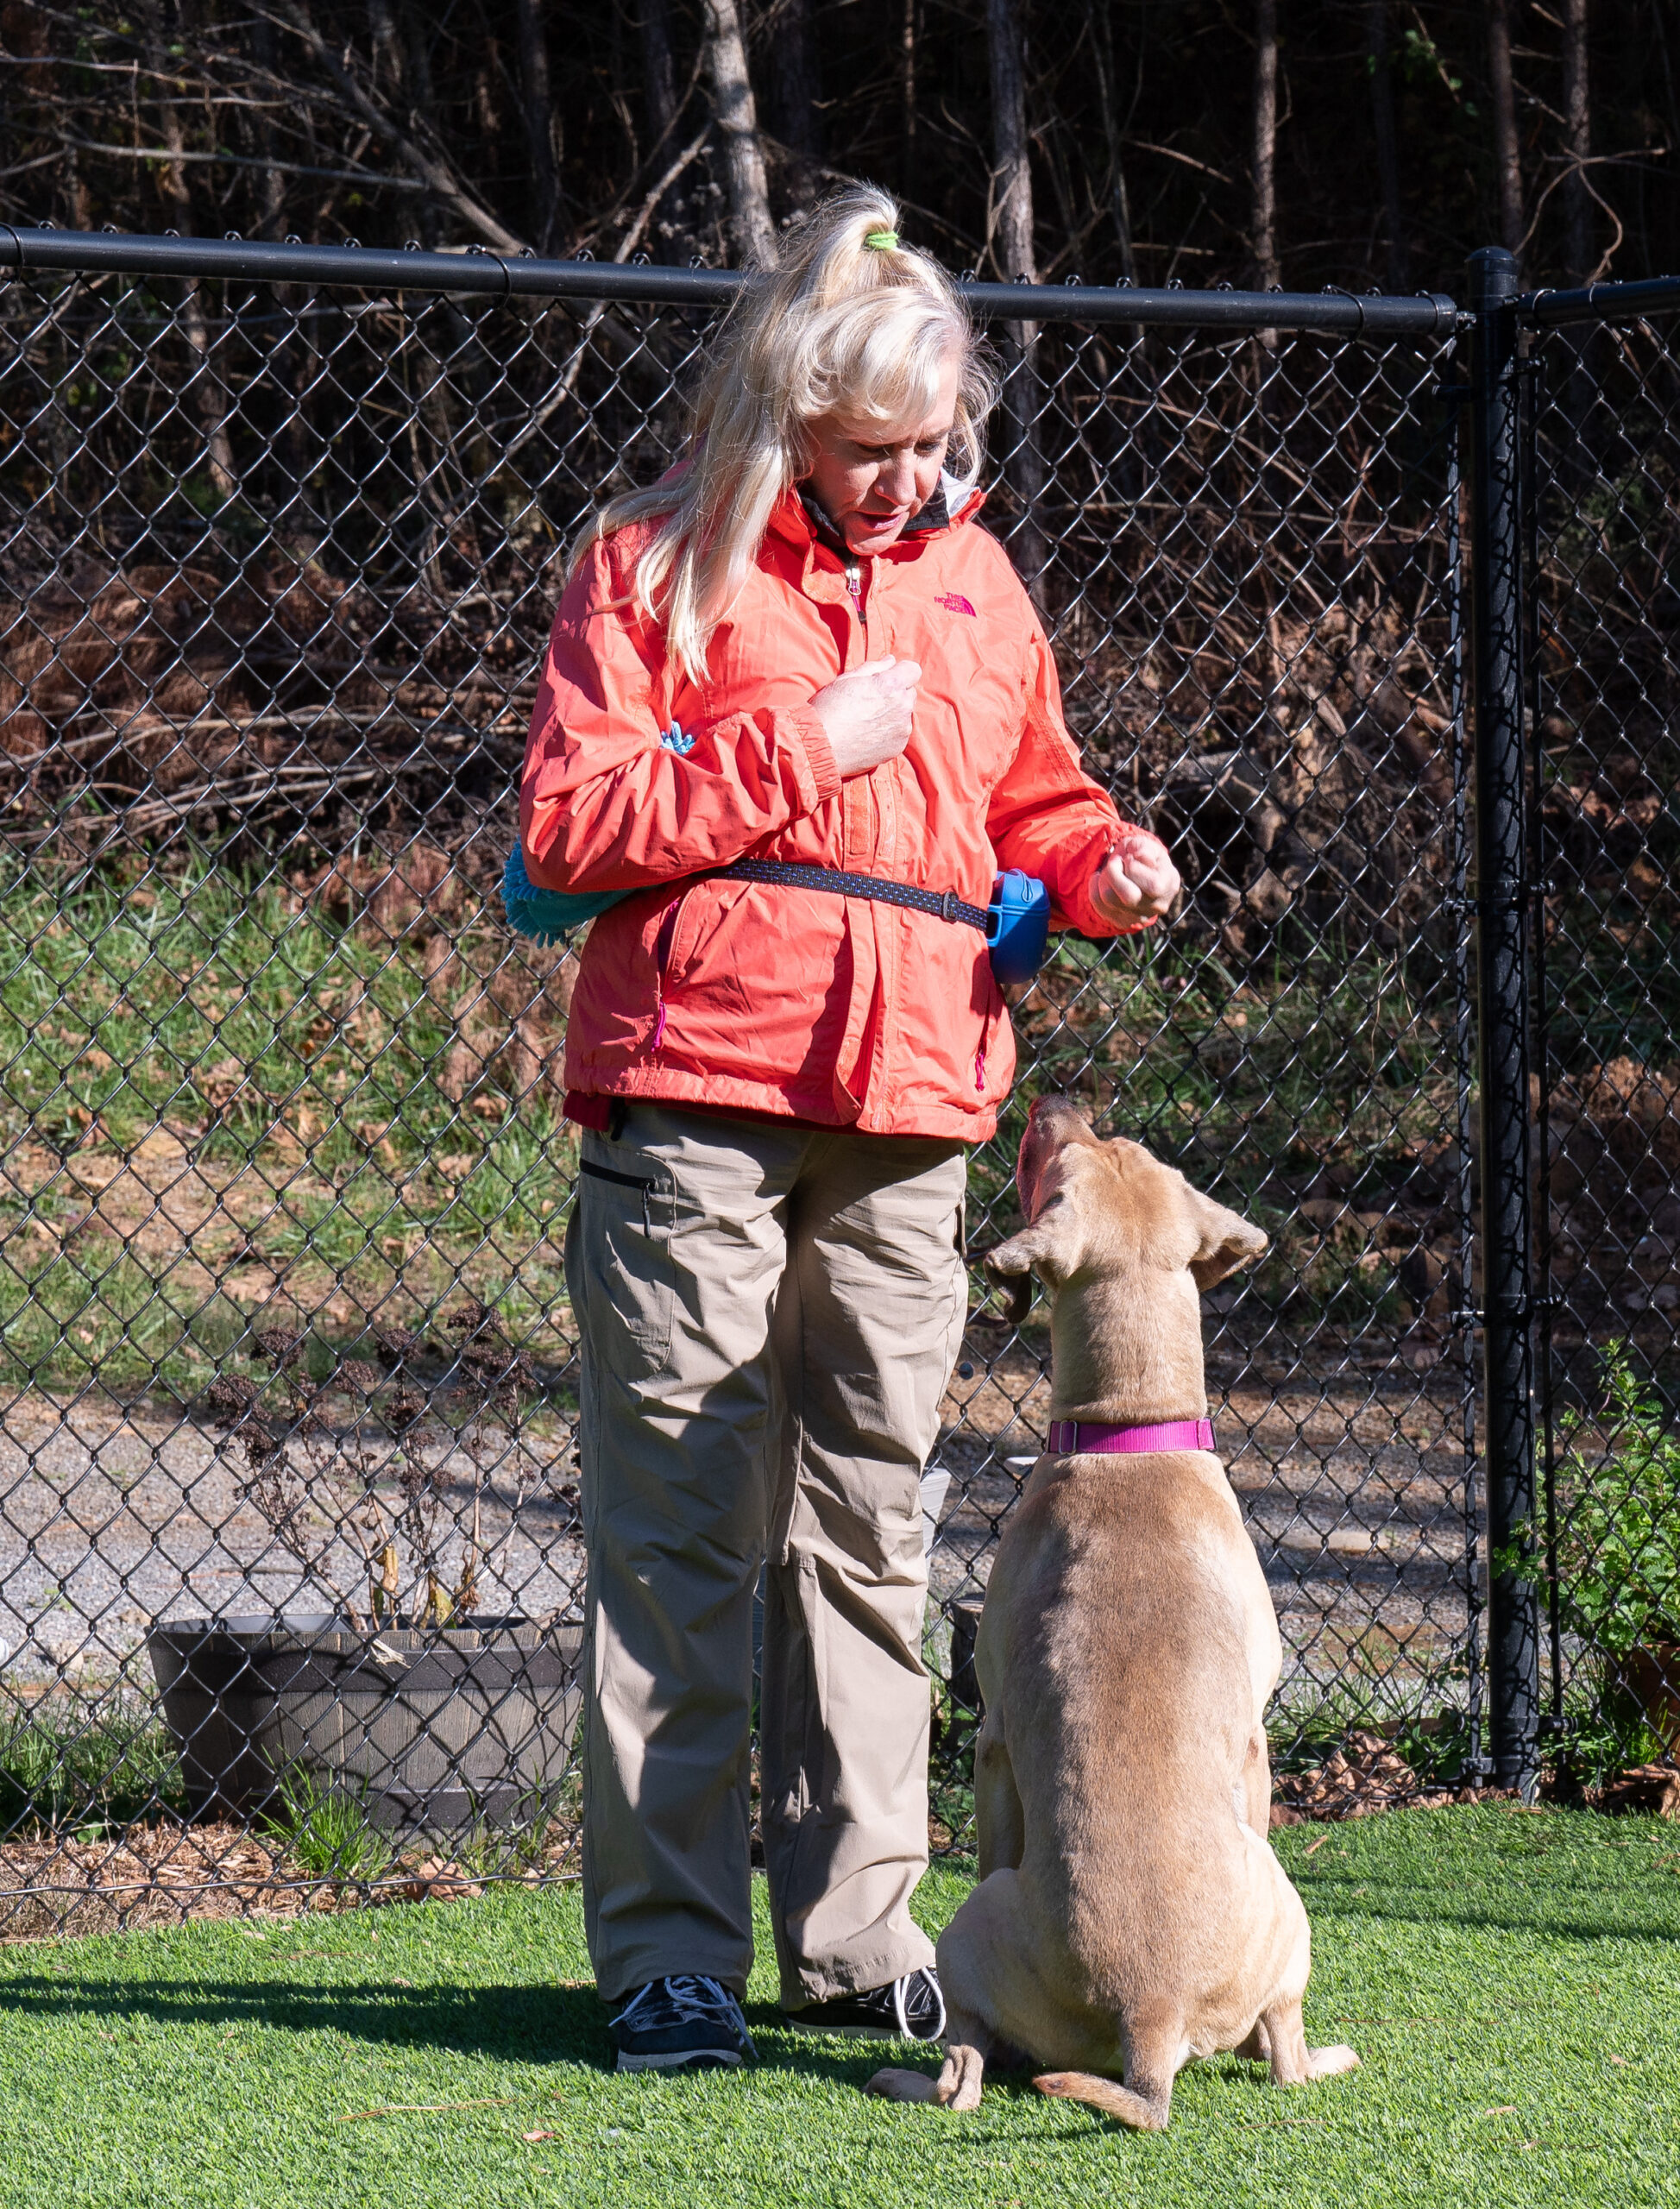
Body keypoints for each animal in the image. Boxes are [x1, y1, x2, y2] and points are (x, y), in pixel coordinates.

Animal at [870, 1095, 1360, 2129]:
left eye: (1071, 1161)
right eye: (1116, 1147)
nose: (1057, 1102)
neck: (1132, 1434)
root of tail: (1153, 2010)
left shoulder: (993, 1741)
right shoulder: (1257, 1743)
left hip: (969, 1921)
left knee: (962, 2072)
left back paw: (907, 2075)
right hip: (1287, 1904)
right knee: (1283, 2048)